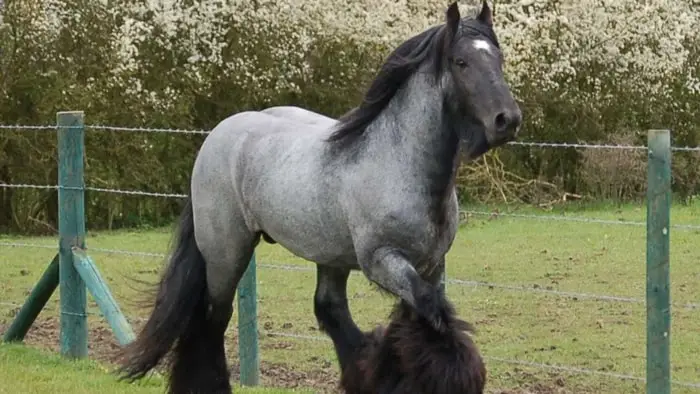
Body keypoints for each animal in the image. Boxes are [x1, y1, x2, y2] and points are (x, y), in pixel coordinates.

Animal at [120, 1, 520, 392]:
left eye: (498, 59)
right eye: (461, 62)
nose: (508, 120)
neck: (398, 161)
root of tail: (218, 134)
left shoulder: (430, 265)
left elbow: (423, 319)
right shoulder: (382, 260)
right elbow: (432, 312)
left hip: (328, 252)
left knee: (328, 308)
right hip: (226, 251)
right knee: (212, 318)